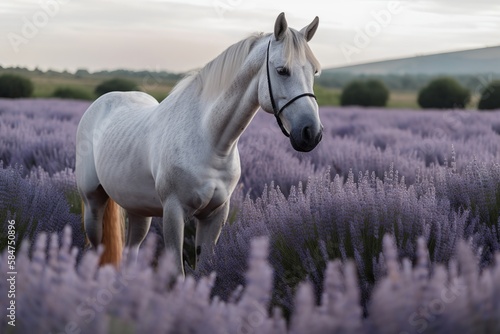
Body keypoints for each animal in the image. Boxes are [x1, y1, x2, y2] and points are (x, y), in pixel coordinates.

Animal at [74, 13, 324, 274]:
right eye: (282, 70)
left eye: (315, 71)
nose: (311, 133)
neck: (211, 142)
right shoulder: (173, 213)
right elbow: (177, 271)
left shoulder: (214, 215)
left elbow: (204, 269)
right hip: (93, 204)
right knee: (97, 248)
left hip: (138, 210)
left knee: (131, 251)